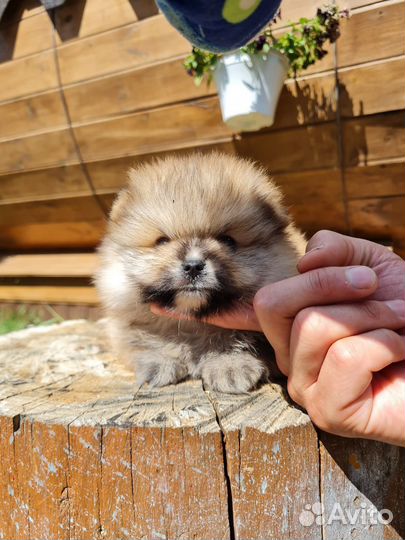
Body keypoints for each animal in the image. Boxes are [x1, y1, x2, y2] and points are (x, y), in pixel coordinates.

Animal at [95, 152, 304, 392]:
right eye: (162, 241)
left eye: (228, 240)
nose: (193, 266)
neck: (193, 323)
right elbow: (141, 341)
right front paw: (159, 361)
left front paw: (230, 366)